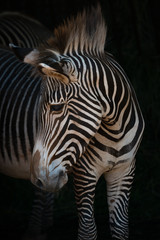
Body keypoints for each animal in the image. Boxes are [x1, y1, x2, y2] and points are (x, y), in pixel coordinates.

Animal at [9, 5, 144, 240]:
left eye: (56, 108)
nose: (37, 179)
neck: (115, 132)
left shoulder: (124, 171)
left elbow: (120, 228)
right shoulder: (83, 174)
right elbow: (88, 231)